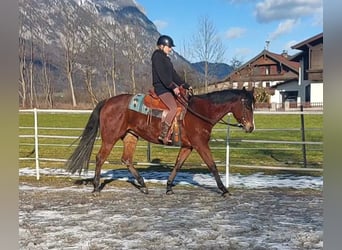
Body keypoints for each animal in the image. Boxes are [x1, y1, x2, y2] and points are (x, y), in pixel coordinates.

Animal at [65, 87, 255, 196]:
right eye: (247, 105)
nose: (250, 127)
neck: (199, 112)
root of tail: (108, 101)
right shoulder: (200, 144)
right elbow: (212, 165)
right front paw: (223, 190)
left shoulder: (188, 146)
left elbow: (178, 165)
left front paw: (169, 186)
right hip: (110, 138)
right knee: (100, 158)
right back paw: (96, 188)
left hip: (130, 136)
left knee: (126, 159)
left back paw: (143, 185)